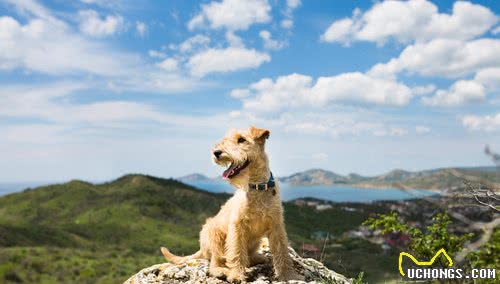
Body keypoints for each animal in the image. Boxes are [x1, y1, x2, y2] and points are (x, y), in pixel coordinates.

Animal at [160, 126, 300, 282]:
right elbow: (237, 252)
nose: (216, 152)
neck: (257, 187)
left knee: (248, 258)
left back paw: (260, 258)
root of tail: (202, 249)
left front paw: (288, 275)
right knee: (215, 264)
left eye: (241, 139)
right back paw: (222, 271)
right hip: (214, 236)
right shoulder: (237, 226)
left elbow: (282, 251)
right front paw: (236, 275)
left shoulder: (276, 225)